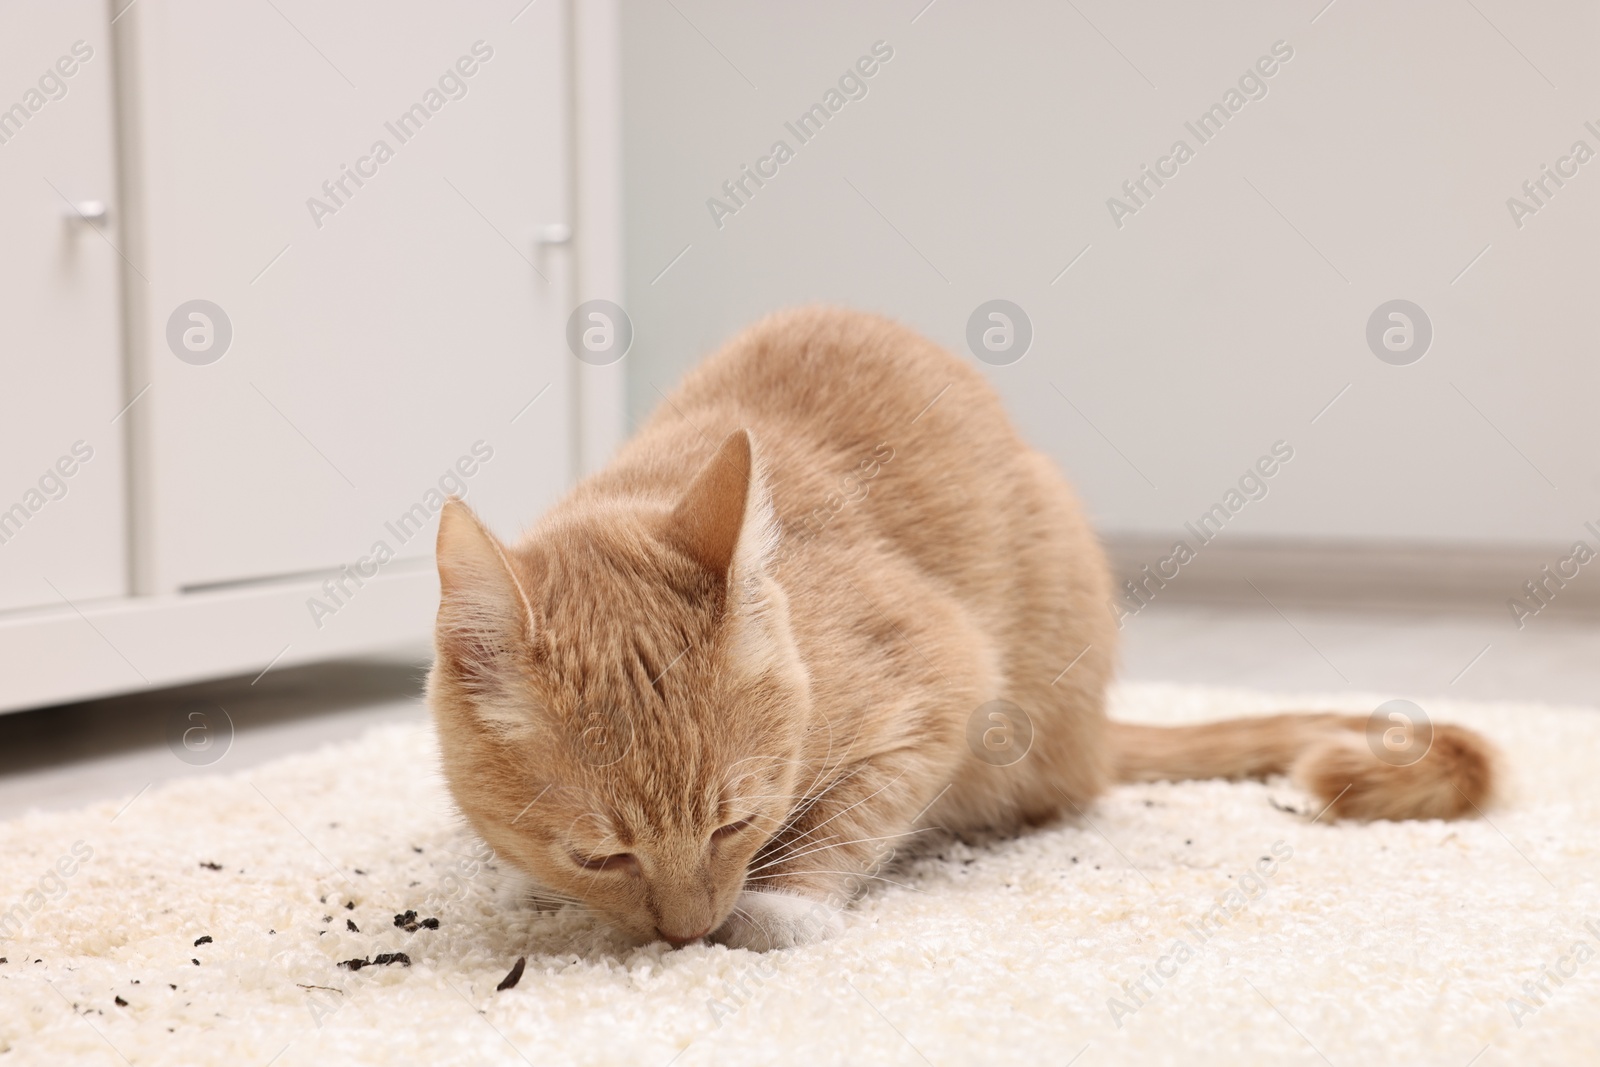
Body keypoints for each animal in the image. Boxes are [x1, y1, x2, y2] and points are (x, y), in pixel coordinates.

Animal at [425, 307, 1497, 953]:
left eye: (737, 820)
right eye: (600, 854)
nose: (689, 935)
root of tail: (1095, 733)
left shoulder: (944, 676)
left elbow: (859, 808)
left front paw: (783, 904)